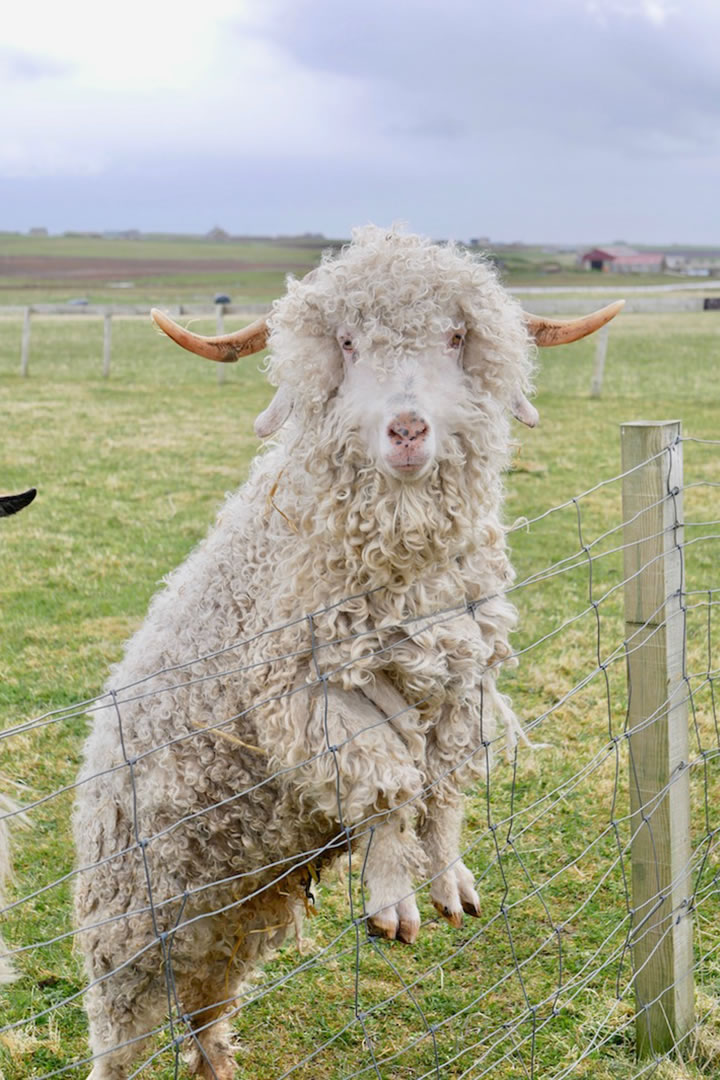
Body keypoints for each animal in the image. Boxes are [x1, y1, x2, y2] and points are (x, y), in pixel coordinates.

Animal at [74, 223, 626, 1075]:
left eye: (455, 336)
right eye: (346, 341)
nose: (407, 431)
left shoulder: (458, 682)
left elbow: (443, 788)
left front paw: (451, 882)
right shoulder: (313, 696)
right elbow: (388, 786)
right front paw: (392, 903)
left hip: (231, 916)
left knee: (205, 1008)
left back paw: (218, 1061)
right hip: (130, 920)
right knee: (120, 1034)